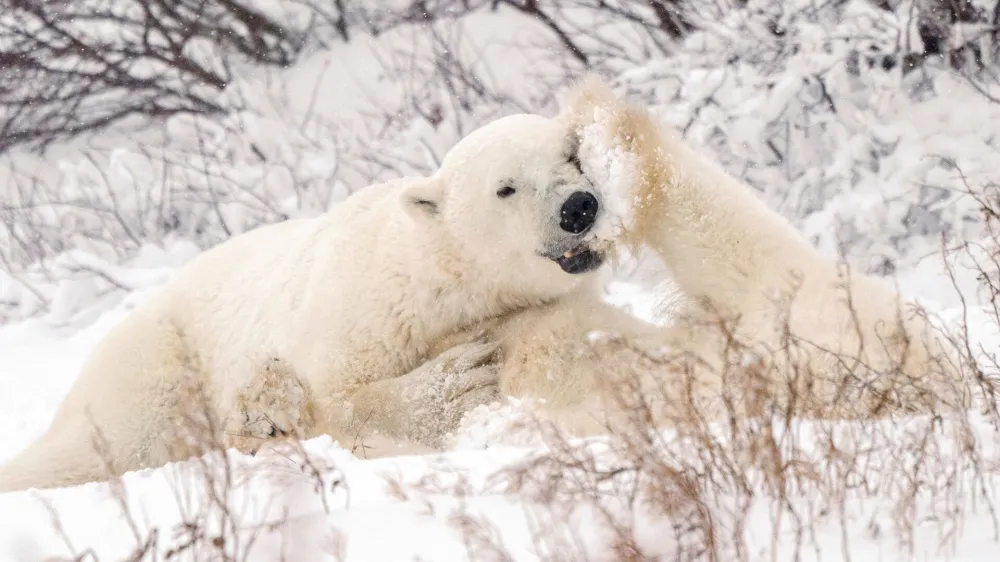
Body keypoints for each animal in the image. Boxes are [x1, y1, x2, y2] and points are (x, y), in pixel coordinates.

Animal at [0, 107, 623, 493]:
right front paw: (455, 380)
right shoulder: (361, 310)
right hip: (157, 362)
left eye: (572, 157)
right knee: (107, 443)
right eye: (505, 187)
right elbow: (334, 398)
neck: (440, 284)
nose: (578, 207)